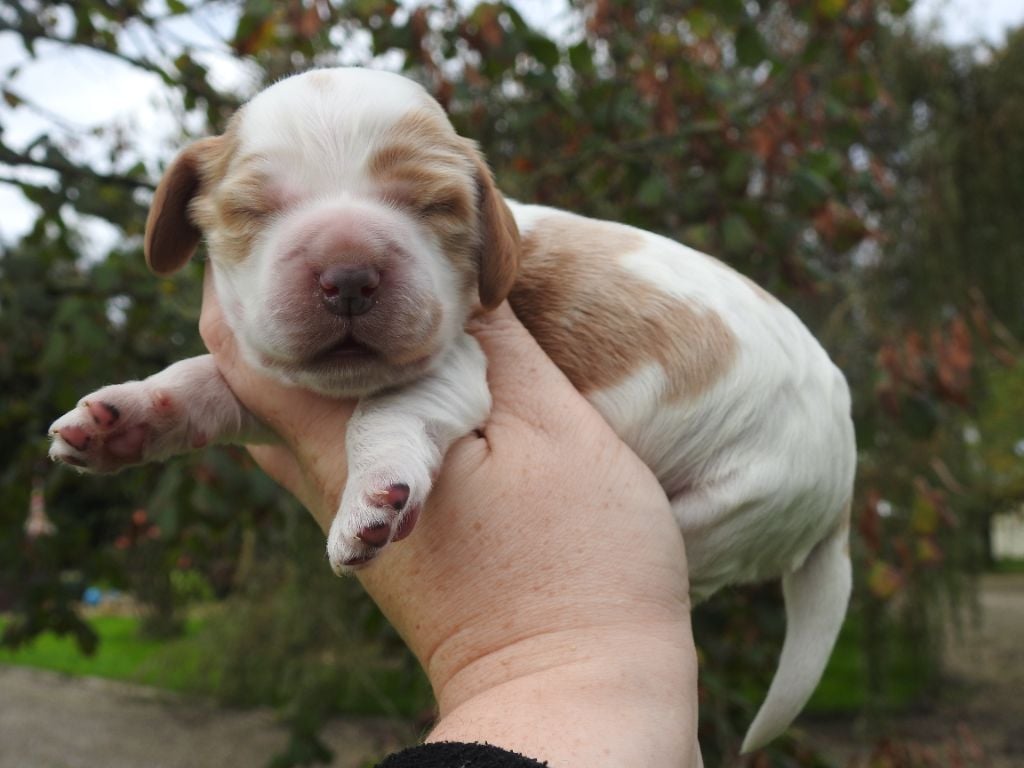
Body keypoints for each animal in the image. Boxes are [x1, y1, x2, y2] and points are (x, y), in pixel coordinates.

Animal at [51, 66, 860, 753]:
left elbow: (383, 415)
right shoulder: (266, 384)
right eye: (254, 209)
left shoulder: (456, 366)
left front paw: (372, 496)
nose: (349, 274)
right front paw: (127, 415)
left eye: (433, 206)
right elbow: (208, 383)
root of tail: (845, 485)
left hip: (727, 508)